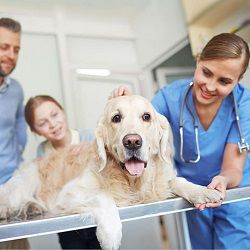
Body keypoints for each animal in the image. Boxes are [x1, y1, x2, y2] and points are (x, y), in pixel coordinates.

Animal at [0, 94, 223, 249]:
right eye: (116, 118)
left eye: (146, 117)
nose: (132, 141)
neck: (132, 181)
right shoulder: (68, 193)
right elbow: (103, 195)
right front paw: (111, 234)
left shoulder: (160, 182)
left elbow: (179, 181)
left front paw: (203, 191)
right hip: (29, 178)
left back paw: (31, 208)